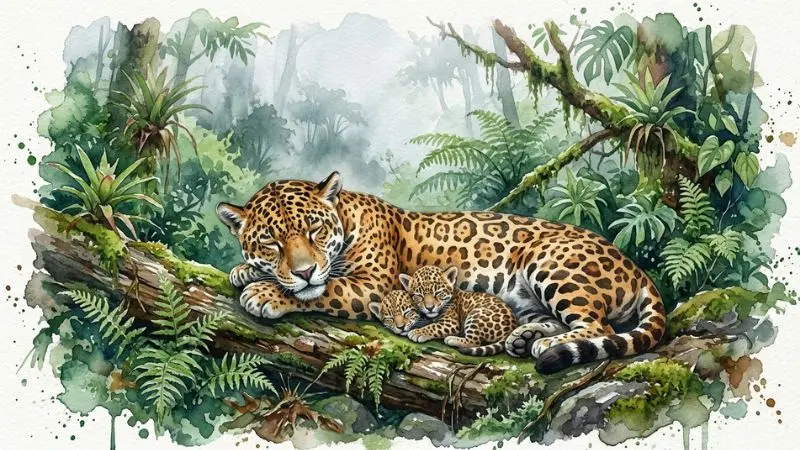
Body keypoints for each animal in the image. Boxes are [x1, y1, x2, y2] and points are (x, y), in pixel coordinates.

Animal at [217, 171, 667, 374]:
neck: (346, 215)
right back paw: (523, 339)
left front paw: (266, 294)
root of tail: (636, 268)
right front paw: (245, 272)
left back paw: (540, 346)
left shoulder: (373, 287)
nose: (306, 269)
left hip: (550, 264)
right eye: (271, 242)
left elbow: (325, 290)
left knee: (598, 327)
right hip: (526, 298)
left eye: (314, 229)